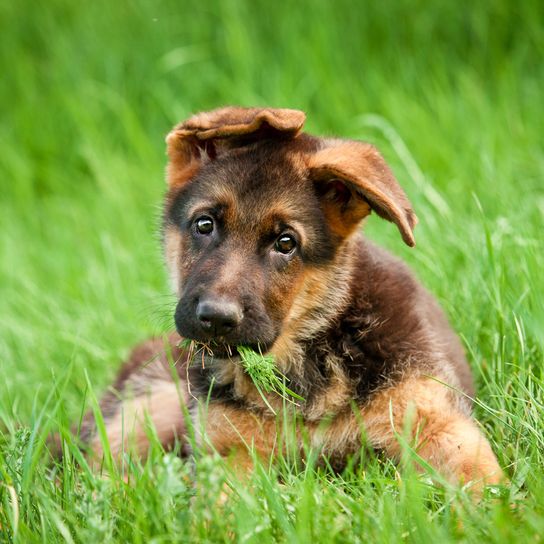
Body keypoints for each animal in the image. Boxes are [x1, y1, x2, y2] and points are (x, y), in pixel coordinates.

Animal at [82, 108, 506, 490]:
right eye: (204, 224)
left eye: (286, 243)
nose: (216, 318)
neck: (305, 359)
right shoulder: (228, 450)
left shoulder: (435, 420)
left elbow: (486, 486)